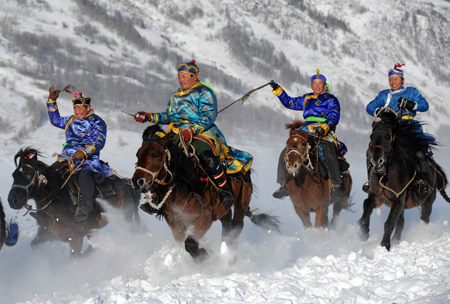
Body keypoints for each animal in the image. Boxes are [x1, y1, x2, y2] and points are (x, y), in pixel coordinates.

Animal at [7, 147, 141, 256]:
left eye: (29, 174)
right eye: (13, 175)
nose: (12, 200)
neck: (57, 198)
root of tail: (126, 185)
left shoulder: (75, 238)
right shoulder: (48, 233)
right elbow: (34, 245)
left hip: (126, 220)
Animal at [132, 124, 280, 262]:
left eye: (155, 154)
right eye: (138, 154)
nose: (137, 181)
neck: (185, 186)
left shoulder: (204, 218)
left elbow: (190, 244)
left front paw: (204, 255)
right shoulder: (176, 224)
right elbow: (184, 242)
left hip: (242, 201)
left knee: (237, 226)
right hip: (223, 210)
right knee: (227, 223)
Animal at [356, 109, 448, 252]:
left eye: (388, 137)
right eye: (371, 137)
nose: (377, 160)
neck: (385, 176)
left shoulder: (397, 201)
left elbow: (389, 223)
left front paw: (385, 245)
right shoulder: (377, 197)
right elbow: (367, 205)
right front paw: (364, 232)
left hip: (427, 201)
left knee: (424, 219)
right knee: (401, 222)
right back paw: (396, 240)